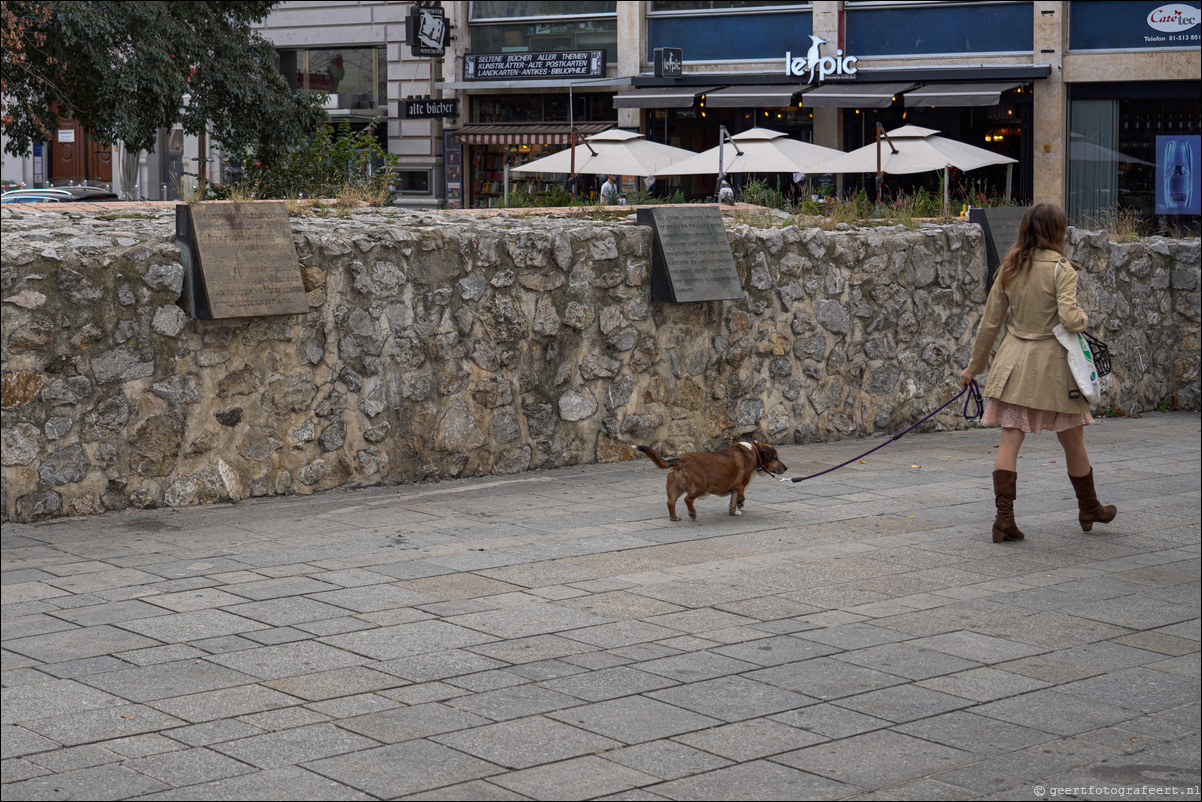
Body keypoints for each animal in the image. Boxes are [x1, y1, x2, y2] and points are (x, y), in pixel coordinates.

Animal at [634, 440, 783, 521]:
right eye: (775, 458)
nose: (786, 467)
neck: (754, 452)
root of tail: (681, 460)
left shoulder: (735, 489)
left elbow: (732, 502)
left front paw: (733, 511)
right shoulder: (740, 486)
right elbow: (739, 497)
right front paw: (739, 506)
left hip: (675, 488)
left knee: (670, 502)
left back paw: (674, 517)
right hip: (700, 485)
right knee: (688, 499)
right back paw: (692, 513)